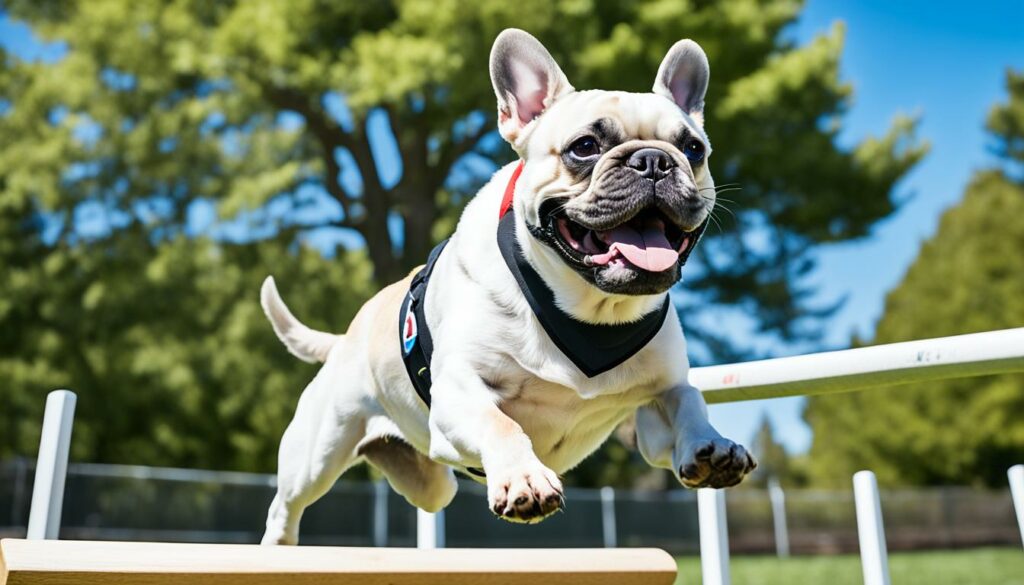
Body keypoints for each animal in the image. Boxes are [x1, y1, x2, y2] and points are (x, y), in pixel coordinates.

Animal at [260, 30, 757, 545]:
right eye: (585, 146)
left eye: (694, 149)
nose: (654, 159)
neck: (590, 310)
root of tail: (343, 340)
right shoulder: (460, 390)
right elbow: (498, 422)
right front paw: (524, 479)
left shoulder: (657, 405)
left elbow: (689, 401)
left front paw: (711, 444)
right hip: (316, 454)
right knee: (286, 505)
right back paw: (279, 546)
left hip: (432, 484)